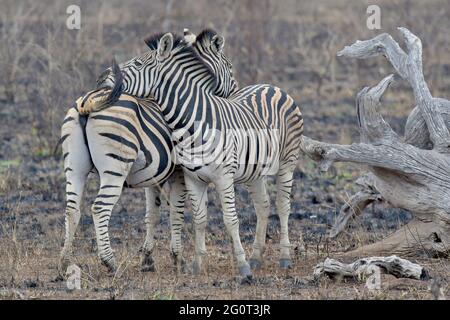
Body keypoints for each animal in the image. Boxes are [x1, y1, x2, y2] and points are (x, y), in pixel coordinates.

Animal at [101, 30, 306, 280]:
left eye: (138, 64)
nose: (103, 77)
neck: (190, 122)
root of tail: (270, 86)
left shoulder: (222, 178)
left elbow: (230, 220)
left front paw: (242, 266)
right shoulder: (192, 178)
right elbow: (199, 219)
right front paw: (197, 264)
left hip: (288, 162)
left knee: (283, 205)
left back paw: (284, 257)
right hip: (255, 170)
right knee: (263, 205)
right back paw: (257, 257)